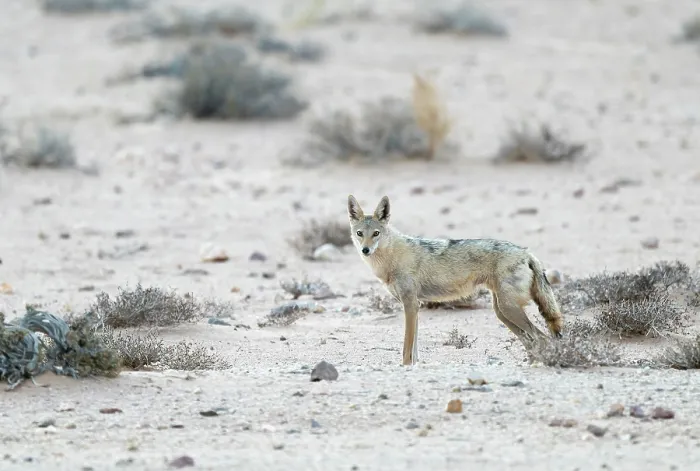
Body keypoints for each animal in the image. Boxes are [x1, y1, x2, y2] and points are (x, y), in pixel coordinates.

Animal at [347, 194, 563, 366]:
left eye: (376, 234)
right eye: (360, 234)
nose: (365, 250)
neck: (390, 259)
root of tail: (526, 253)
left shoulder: (410, 304)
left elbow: (407, 347)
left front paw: (406, 366)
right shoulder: (415, 305)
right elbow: (414, 347)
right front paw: (414, 365)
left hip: (509, 310)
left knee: (542, 338)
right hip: (502, 312)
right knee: (532, 341)